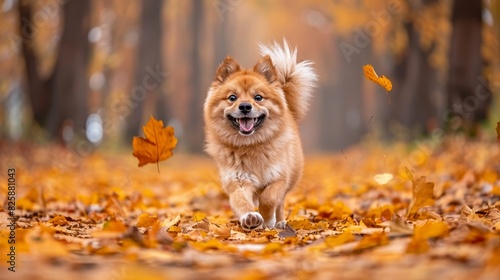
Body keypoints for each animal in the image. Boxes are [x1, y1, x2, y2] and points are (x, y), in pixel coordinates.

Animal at [203, 39, 316, 230]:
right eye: (232, 98)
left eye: (258, 97)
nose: (245, 106)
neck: (251, 146)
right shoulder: (237, 181)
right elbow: (241, 201)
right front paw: (251, 216)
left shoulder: (279, 178)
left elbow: (269, 199)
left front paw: (268, 219)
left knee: (280, 203)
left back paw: (280, 222)